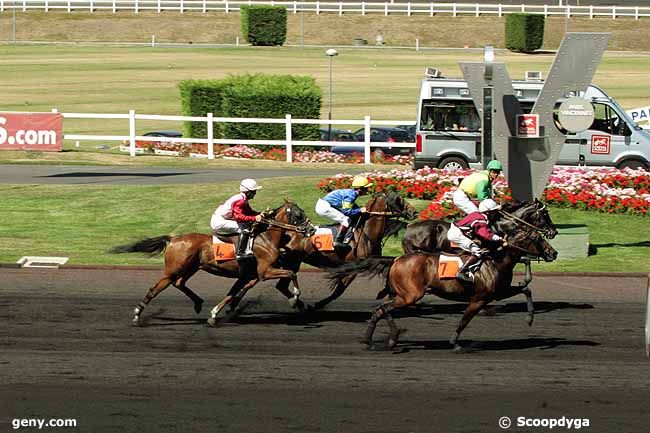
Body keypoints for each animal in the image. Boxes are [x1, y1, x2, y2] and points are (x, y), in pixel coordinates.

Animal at [109, 199, 312, 324]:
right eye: (298, 214)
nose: (310, 229)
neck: (266, 237)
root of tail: (173, 238)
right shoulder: (264, 271)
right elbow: (291, 273)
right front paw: (295, 298)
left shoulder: (249, 274)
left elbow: (233, 293)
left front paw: (215, 314)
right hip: (174, 269)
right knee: (156, 288)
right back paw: (137, 315)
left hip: (191, 267)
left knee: (179, 283)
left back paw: (198, 303)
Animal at [270, 190, 418, 310]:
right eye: (399, 199)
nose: (414, 212)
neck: (366, 232)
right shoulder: (354, 266)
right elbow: (339, 290)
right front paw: (317, 304)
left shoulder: (370, 261)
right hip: (292, 262)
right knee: (282, 285)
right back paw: (300, 304)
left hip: (293, 262)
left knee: (281, 286)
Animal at [326, 226, 556, 352]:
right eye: (538, 238)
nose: (553, 253)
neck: (496, 260)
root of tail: (396, 259)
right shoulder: (479, 298)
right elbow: (464, 321)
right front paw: (455, 343)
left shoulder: (498, 293)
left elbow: (526, 290)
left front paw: (530, 318)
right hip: (410, 296)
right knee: (381, 310)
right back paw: (372, 340)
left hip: (401, 295)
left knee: (383, 309)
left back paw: (390, 339)